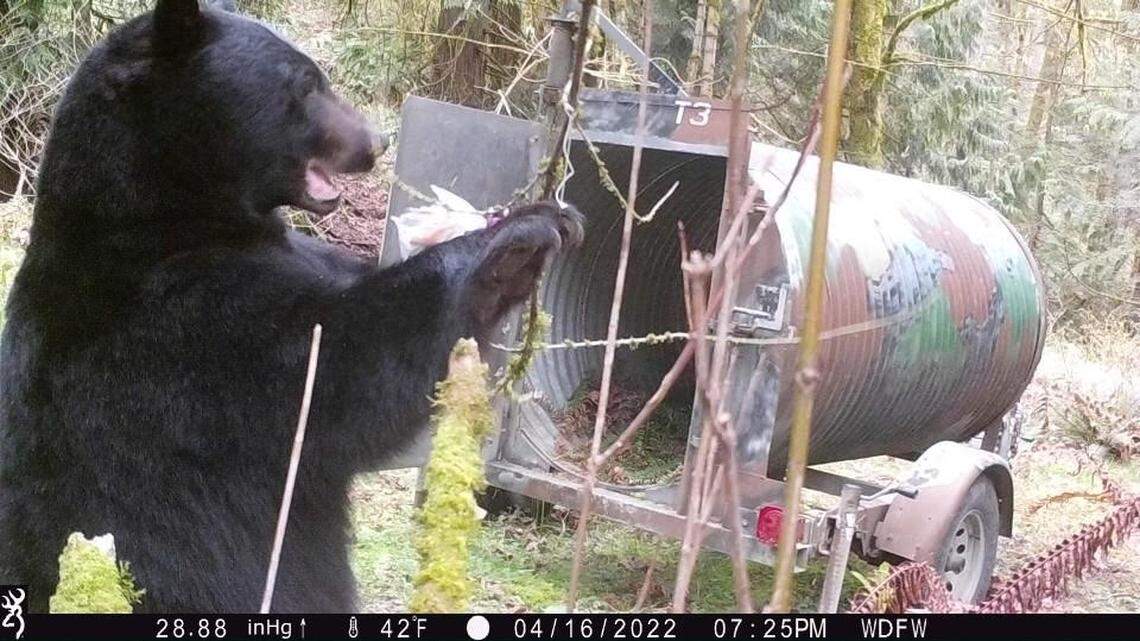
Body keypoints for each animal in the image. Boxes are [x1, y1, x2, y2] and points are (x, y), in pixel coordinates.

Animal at [0, 0, 582, 613]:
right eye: (304, 85)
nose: (374, 143)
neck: (167, 216)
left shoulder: (295, 253)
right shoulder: (165, 332)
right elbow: (335, 369)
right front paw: (514, 241)